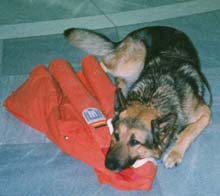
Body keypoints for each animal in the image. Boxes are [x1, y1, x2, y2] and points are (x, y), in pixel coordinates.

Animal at [64, 25, 212, 170]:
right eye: (116, 135)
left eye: (134, 142)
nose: (108, 166)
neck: (152, 97)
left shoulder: (206, 113)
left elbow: (189, 131)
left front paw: (174, 153)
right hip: (132, 61)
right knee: (103, 63)